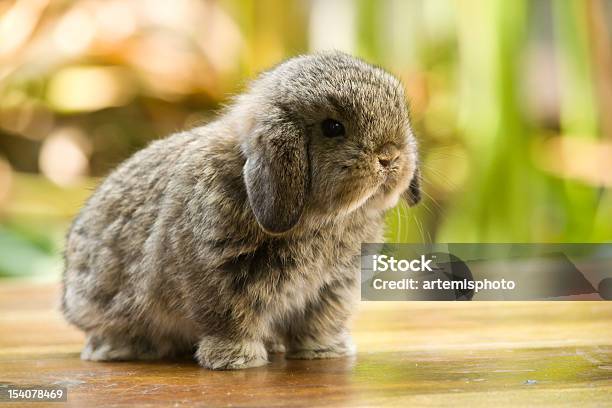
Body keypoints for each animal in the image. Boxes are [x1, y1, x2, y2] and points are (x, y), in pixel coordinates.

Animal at [61, 51, 420, 370]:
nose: (390, 157)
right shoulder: (218, 278)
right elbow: (231, 320)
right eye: (333, 127)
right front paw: (237, 359)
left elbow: (320, 323)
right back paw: (118, 349)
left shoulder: (331, 288)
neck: (322, 219)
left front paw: (325, 351)